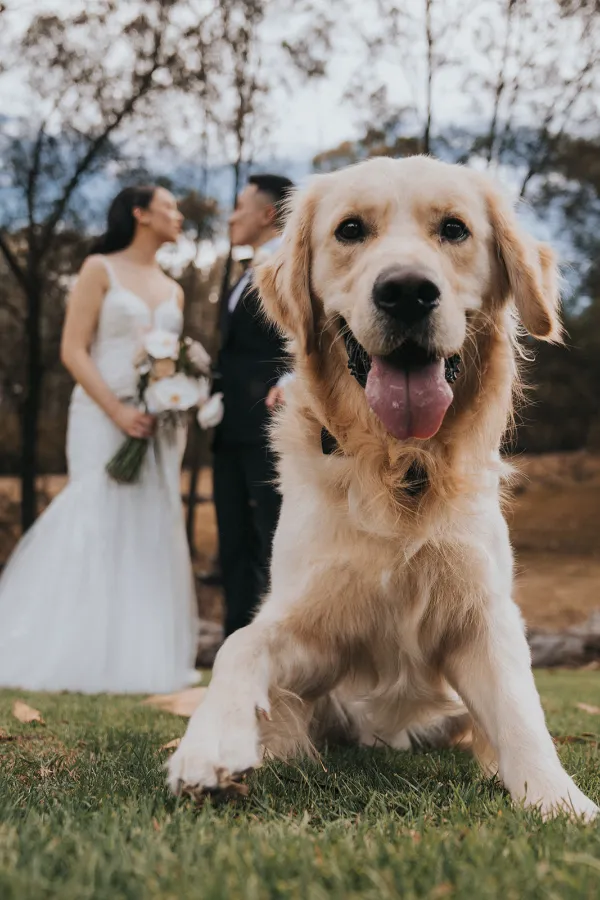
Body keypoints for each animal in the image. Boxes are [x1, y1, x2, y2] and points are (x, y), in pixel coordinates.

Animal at [169, 156, 600, 824]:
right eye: (350, 230)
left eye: (454, 229)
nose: (406, 291)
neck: (400, 467)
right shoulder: (315, 627)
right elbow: (239, 642)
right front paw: (209, 746)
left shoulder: (482, 612)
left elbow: (520, 709)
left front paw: (559, 800)